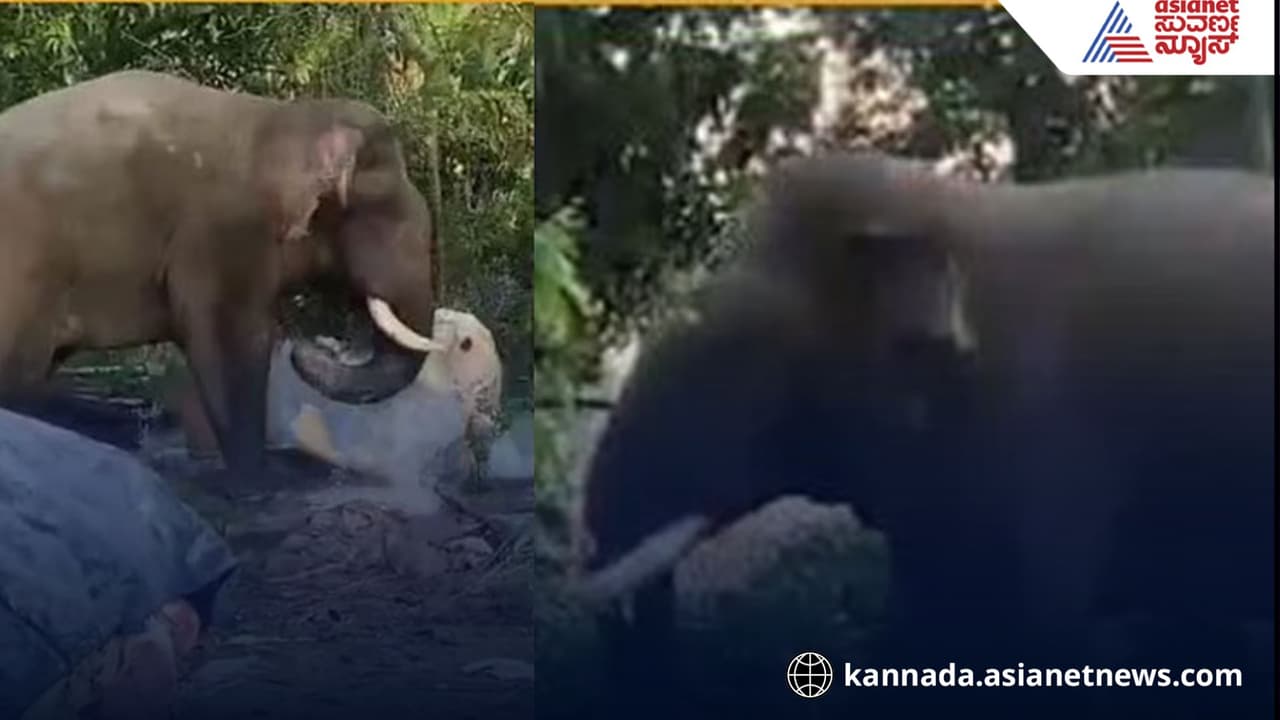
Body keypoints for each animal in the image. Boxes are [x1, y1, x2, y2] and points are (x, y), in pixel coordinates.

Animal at [0, 70, 448, 488]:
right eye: (383, 214)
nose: (313, 345)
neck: (276, 118)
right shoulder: (222, 231)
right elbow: (233, 338)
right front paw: (259, 484)